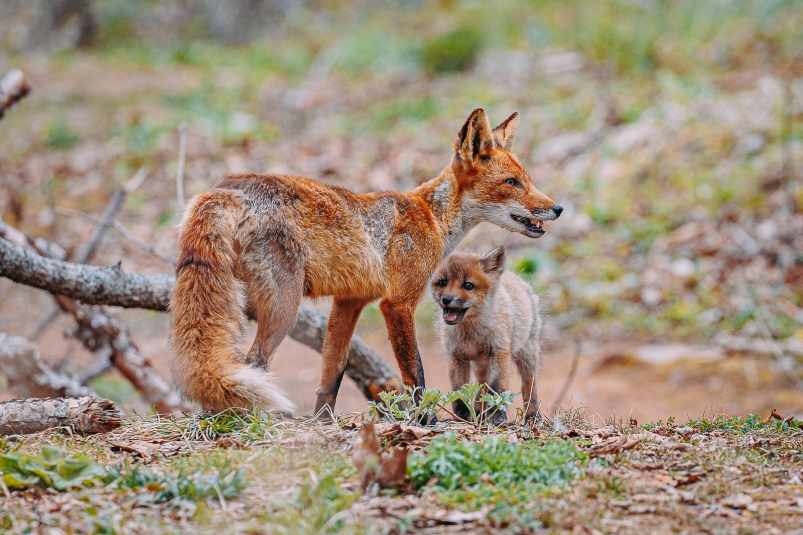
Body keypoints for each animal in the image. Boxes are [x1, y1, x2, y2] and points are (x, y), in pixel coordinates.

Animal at [170, 107, 564, 416]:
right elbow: (416, 376)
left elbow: (331, 376)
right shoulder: (397, 303)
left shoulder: (349, 302)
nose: (558, 208)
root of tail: (226, 187)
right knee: (255, 363)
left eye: (527, 180)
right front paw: (427, 423)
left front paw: (323, 425)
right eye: (512, 182)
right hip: (284, 307)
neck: (432, 219)